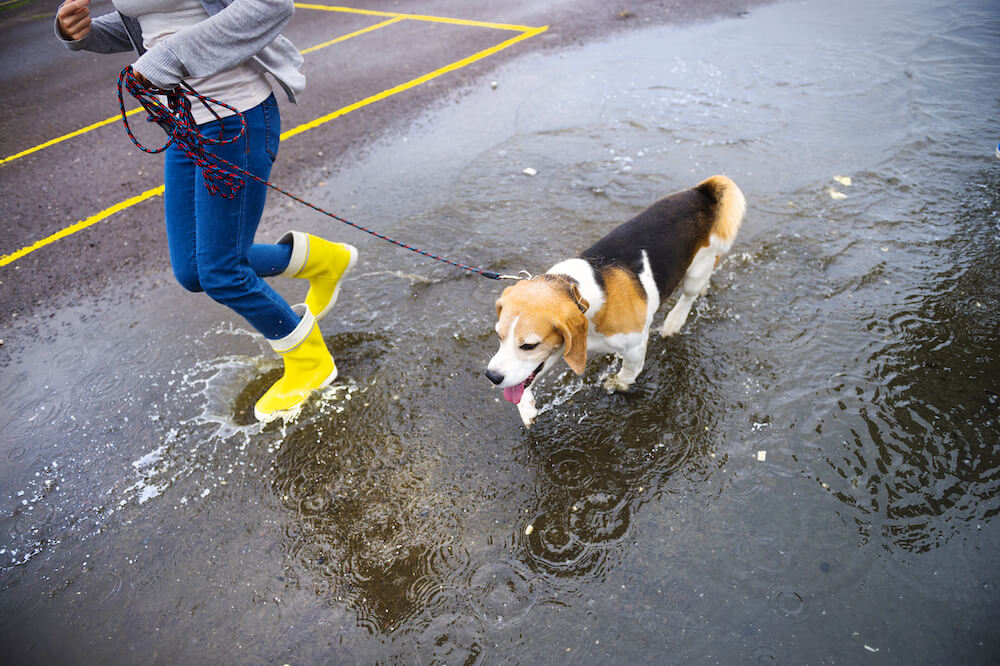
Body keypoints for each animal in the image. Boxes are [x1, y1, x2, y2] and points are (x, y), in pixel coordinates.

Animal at [484, 174, 744, 426]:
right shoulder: (564, 346)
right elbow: (528, 376)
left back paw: (674, 322)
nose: (492, 376)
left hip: (698, 268)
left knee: (688, 296)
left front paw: (617, 383)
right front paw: (526, 406)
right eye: (499, 336)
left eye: (529, 345)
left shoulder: (635, 345)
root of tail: (700, 192)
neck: (581, 294)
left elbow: (630, 370)